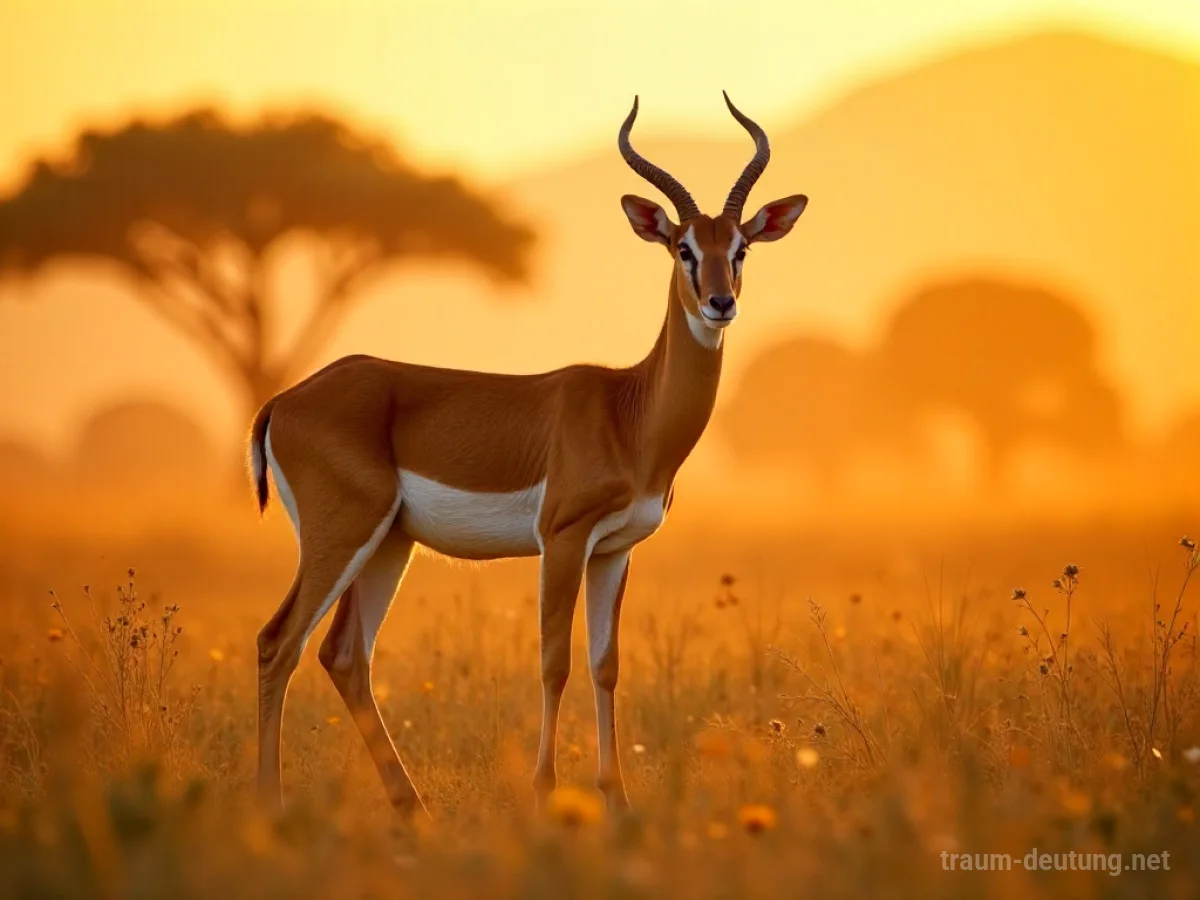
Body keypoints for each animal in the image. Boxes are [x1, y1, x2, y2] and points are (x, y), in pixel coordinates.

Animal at [248, 92, 808, 816]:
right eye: (683, 248)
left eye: (740, 248)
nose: (720, 303)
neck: (628, 413)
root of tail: (284, 400)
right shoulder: (562, 539)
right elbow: (554, 660)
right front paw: (546, 790)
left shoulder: (615, 550)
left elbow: (605, 664)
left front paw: (616, 796)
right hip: (341, 534)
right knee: (278, 642)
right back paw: (271, 803)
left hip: (389, 543)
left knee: (344, 655)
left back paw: (413, 808)